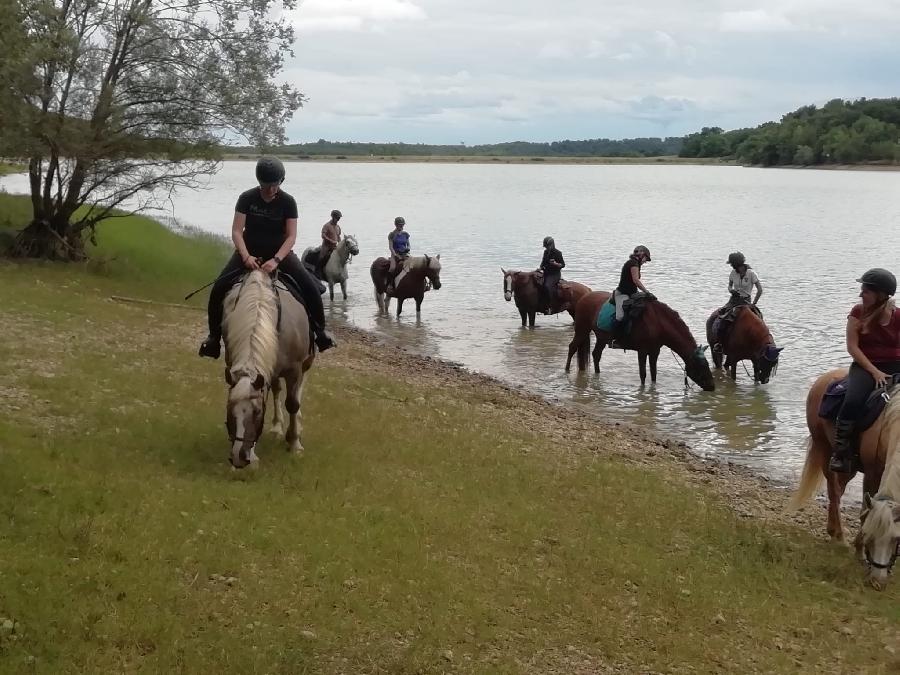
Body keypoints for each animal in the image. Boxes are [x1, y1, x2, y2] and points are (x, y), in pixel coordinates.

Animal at [221, 270, 316, 470]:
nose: (239, 458)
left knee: (298, 391)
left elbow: (293, 403)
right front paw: (254, 456)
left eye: (257, 412)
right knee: (276, 390)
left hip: (306, 363)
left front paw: (295, 443)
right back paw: (277, 427)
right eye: (229, 409)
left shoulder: (295, 369)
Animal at [564, 290, 716, 390]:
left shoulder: (654, 351)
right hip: (582, 330)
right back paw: (566, 370)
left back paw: (597, 374)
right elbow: (643, 374)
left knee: (596, 354)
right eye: (701, 366)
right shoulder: (642, 351)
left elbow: (653, 373)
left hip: (601, 338)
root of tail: (584, 297)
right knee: (572, 347)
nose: (712, 386)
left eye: (707, 365)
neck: (658, 322)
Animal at [792, 372, 896, 588]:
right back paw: (837, 535)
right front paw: (859, 551)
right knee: (834, 492)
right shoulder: (873, 472)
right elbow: (865, 512)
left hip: (850, 466)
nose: (877, 582)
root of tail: (824, 378)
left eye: (895, 539)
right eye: (872, 537)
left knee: (839, 490)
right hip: (825, 450)